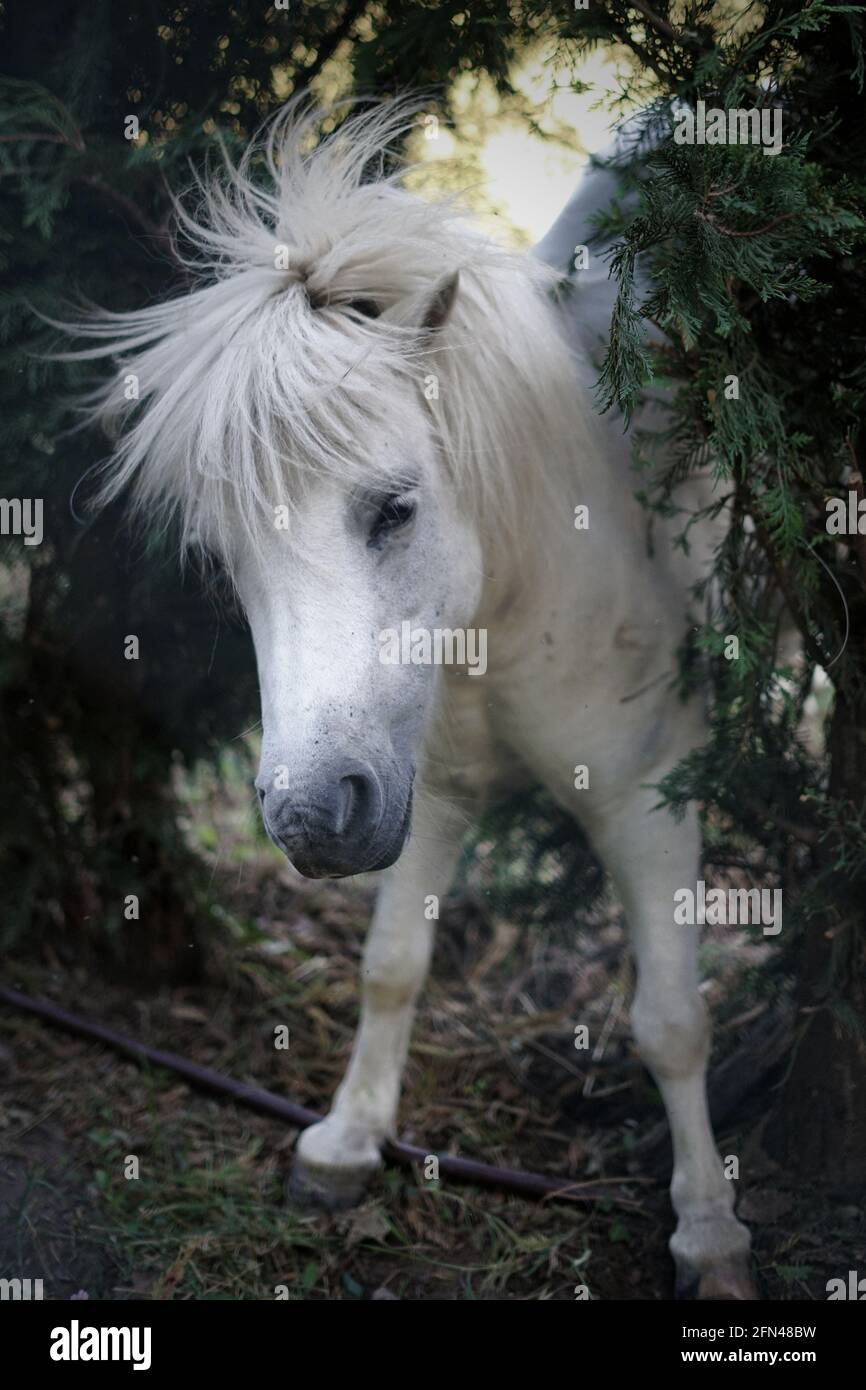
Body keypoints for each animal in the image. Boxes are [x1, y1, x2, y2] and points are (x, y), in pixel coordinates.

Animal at [72, 102, 750, 1295]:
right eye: (225, 556)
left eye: (394, 508)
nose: (304, 815)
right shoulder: (418, 789)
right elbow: (391, 966)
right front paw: (346, 1141)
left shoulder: (649, 795)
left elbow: (672, 1019)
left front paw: (708, 1233)